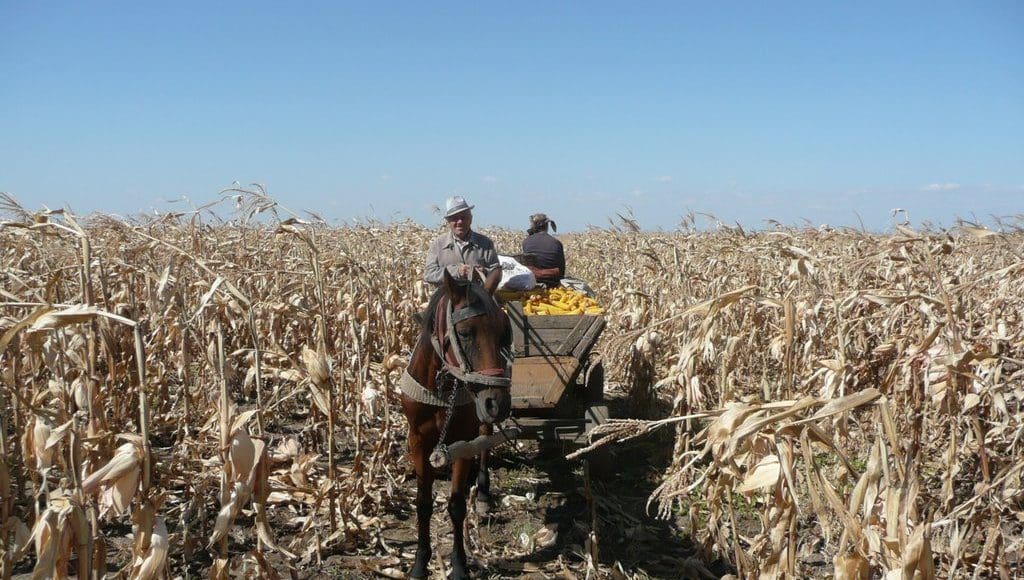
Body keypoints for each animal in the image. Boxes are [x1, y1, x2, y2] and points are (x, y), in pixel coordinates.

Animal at [399, 270, 512, 577]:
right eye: (464, 333)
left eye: (504, 333)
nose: (498, 403)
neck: (442, 387)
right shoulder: (417, 439)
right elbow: (423, 503)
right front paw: (420, 563)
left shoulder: (462, 441)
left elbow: (457, 505)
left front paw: (459, 565)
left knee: (485, 442)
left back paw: (483, 493)